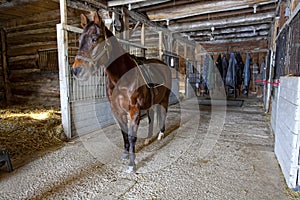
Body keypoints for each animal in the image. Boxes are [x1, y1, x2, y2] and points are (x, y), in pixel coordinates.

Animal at [71, 11, 172, 173]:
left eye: (94, 39)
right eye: (80, 39)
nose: (76, 71)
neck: (121, 78)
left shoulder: (134, 111)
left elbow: (131, 136)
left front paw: (132, 164)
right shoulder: (117, 111)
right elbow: (124, 133)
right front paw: (125, 154)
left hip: (164, 99)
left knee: (163, 114)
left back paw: (161, 134)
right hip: (150, 104)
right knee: (151, 118)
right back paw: (149, 138)